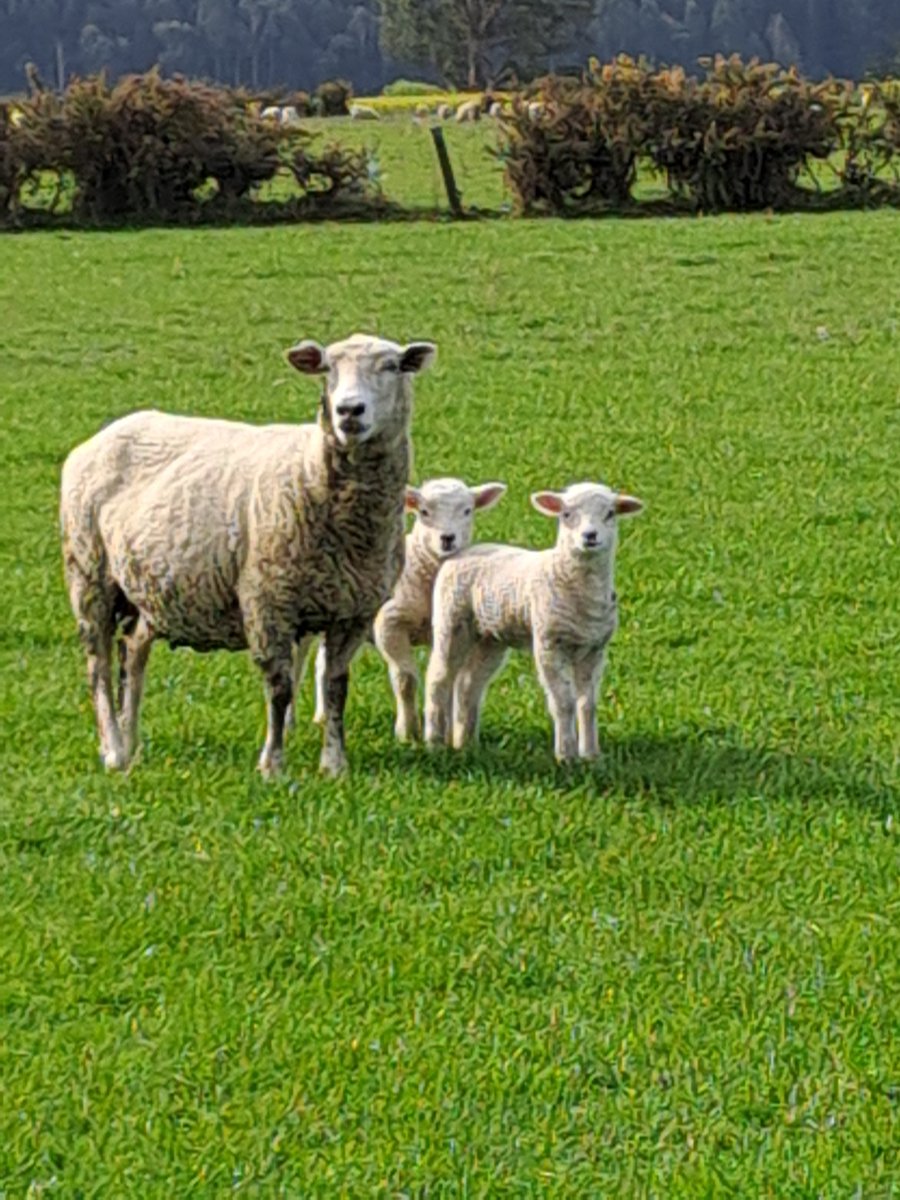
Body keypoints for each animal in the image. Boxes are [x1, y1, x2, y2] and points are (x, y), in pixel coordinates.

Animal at [60, 333, 437, 779]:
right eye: (327, 368)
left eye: (392, 366)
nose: (348, 410)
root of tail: (106, 433)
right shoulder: (266, 600)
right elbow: (279, 688)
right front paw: (272, 764)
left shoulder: (354, 611)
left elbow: (335, 687)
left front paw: (334, 764)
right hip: (89, 573)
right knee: (98, 666)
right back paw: (114, 751)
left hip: (147, 586)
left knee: (133, 654)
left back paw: (130, 741)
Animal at [292, 477, 506, 740]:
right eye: (424, 512)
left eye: (467, 510)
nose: (447, 538)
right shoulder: (390, 623)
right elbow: (405, 679)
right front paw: (407, 732)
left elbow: (445, 676)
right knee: (295, 666)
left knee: (324, 665)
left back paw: (323, 718)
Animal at [423, 482, 643, 762]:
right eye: (566, 514)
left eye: (610, 514)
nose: (590, 536)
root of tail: (460, 552)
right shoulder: (549, 643)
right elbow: (564, 702)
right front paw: (566, 755)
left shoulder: (594, 649)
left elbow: (588, 704)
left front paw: (592, 755)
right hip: (451, 621)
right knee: (438, 678)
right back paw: (435, 742)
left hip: (490, 638)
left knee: (468, 684)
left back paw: (465, 743)